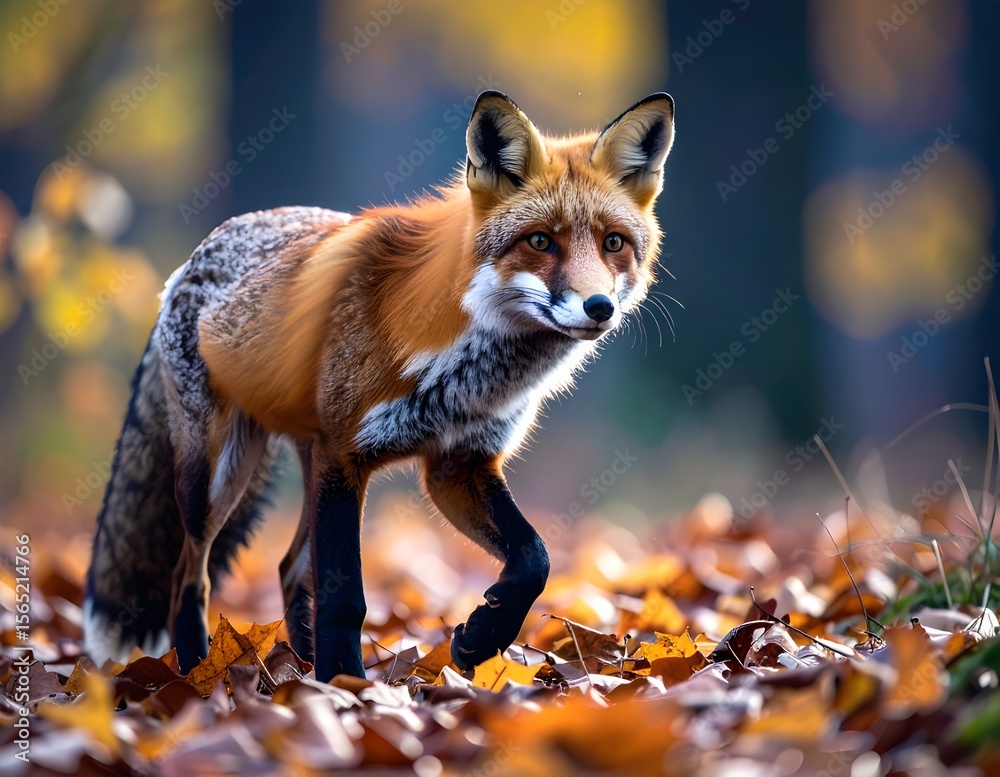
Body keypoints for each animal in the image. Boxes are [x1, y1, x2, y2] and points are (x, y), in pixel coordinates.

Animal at [84, 90, 675, 681]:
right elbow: (346, 598)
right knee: (191, 576)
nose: (599, 307)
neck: (463, 370)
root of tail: (190, 260)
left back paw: (296, 673)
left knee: (289, 568)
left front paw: (480, 638)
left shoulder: (457, 463)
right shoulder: (347, 454)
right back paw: (197, 675)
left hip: (303, 463)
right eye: (540, 242)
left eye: (614, 243)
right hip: (216, 479)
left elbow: (535, 558)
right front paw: (346, 685)